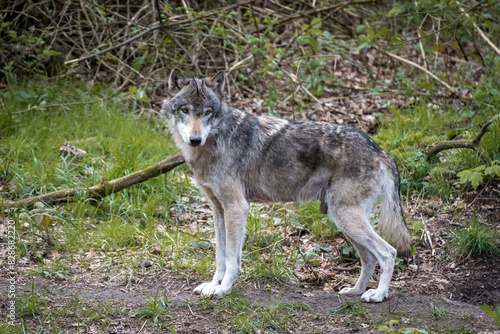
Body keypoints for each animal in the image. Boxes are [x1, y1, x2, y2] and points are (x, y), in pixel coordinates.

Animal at [162, 68, 412, 302]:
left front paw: (223, 289)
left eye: (207, 112)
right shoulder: (218, 209)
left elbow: (232, 259)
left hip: (346, 218)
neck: (216, 140)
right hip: (343, 220)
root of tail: (380, 150)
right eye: (185, 110)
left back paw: (378, 295)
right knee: (369, 258)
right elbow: (220, 256)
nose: (195, 139)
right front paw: (214, 285)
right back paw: (355, 290)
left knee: (388, 252)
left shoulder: (237, 208)